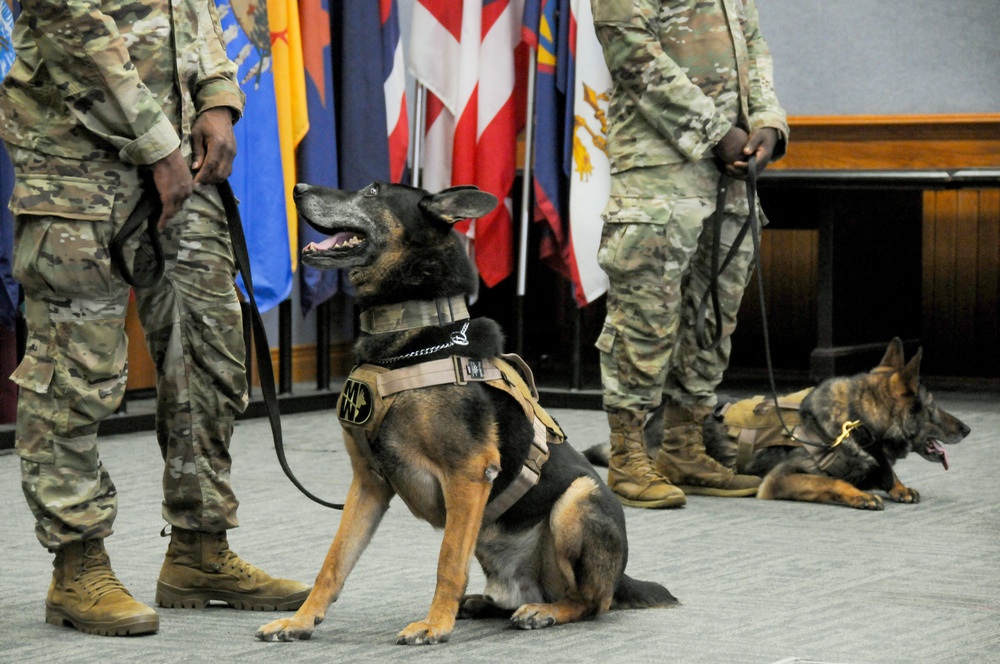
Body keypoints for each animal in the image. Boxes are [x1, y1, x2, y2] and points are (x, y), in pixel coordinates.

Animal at [258, 180, 676, 644]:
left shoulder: (468, 473)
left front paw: (435, 625)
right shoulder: (368, 484)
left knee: (591, 602)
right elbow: (333, 562)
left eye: (372, 192)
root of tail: (619, 578)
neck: (409, 335)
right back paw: (482, 603)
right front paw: (300, 620)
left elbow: (448, 562)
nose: (298, 188)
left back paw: (544, 611)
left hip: (578, 498)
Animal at [584, 340, 968, 510]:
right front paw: (858, 495)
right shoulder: (782, 479)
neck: (855, 423)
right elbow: (830, 482)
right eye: (934, 407)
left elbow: (888, 475)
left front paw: (898, 486)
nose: (967, 429)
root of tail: (654, 420)